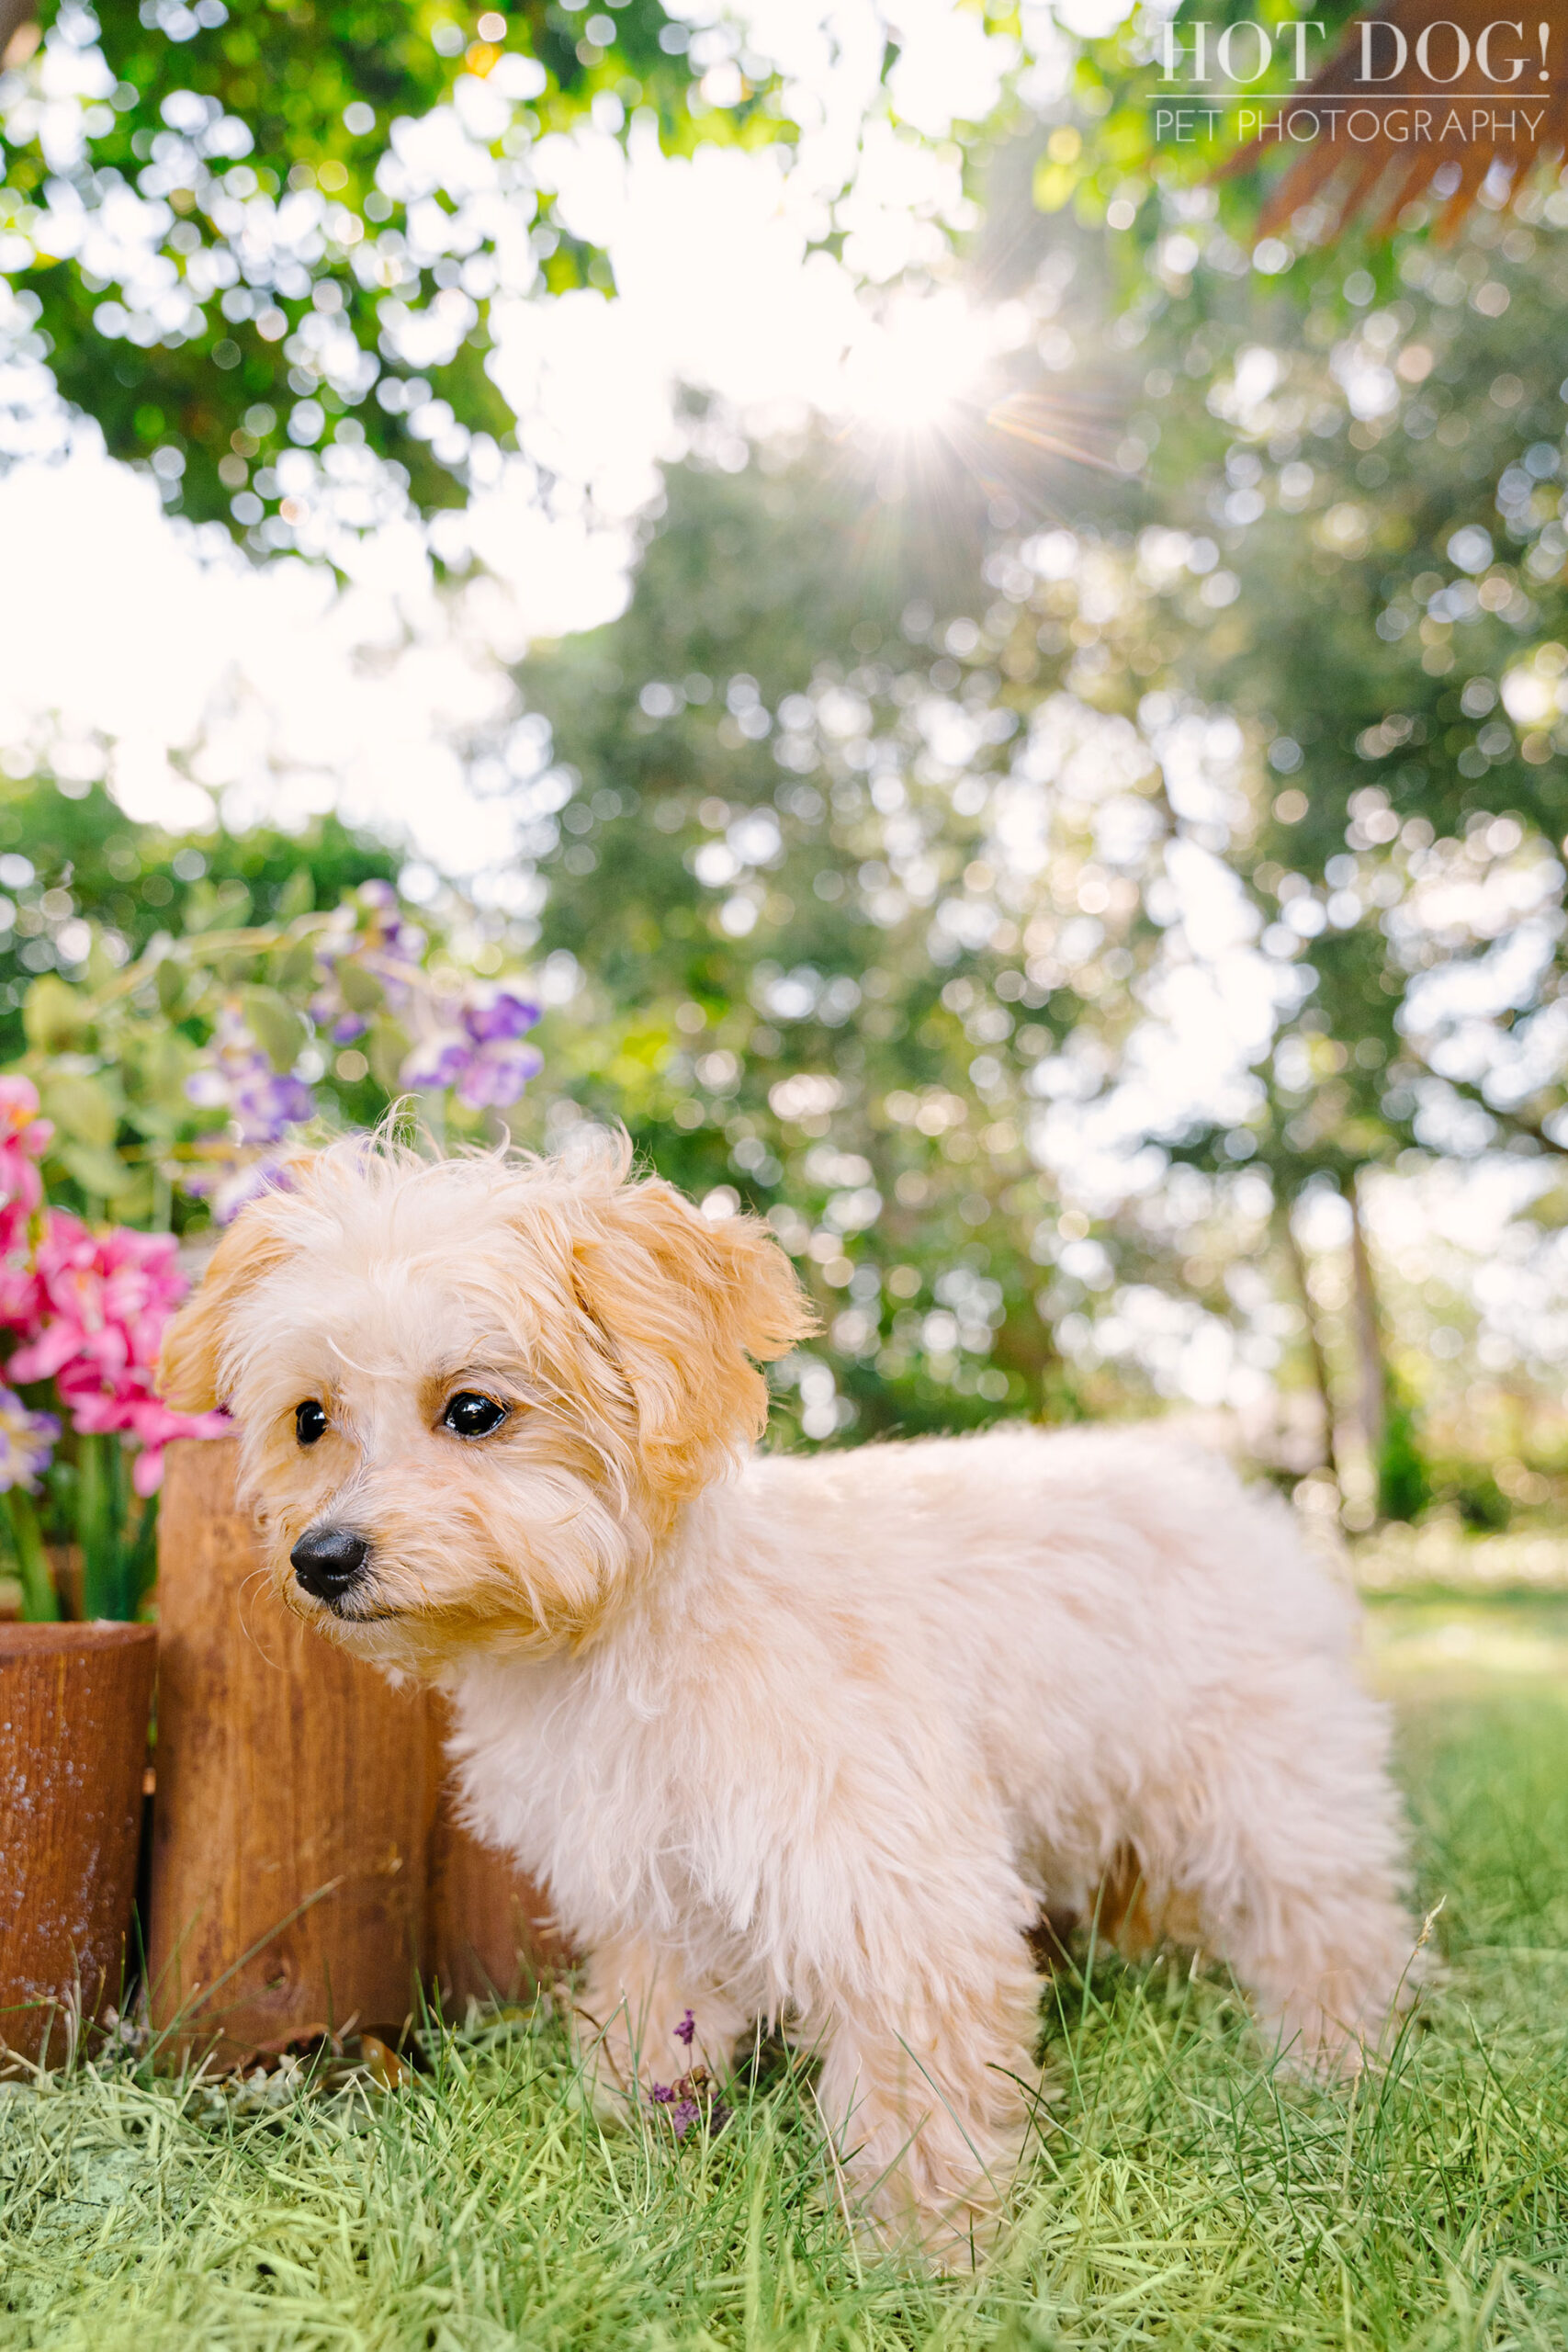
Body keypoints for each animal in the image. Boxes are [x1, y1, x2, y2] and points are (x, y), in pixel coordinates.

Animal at [162, 1128, 1419, 2267]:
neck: (636, 1630)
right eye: (311, 1419)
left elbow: (919, 2091)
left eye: (474, 1410)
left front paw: (927, 2252)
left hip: (1265, 1780)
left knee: (1332, 1924)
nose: (321, 1556)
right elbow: (650, 2013)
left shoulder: (890, 1885)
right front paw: (632, 2125)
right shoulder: (655, 1882)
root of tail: (1225, 1482)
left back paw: (1333, 2062)